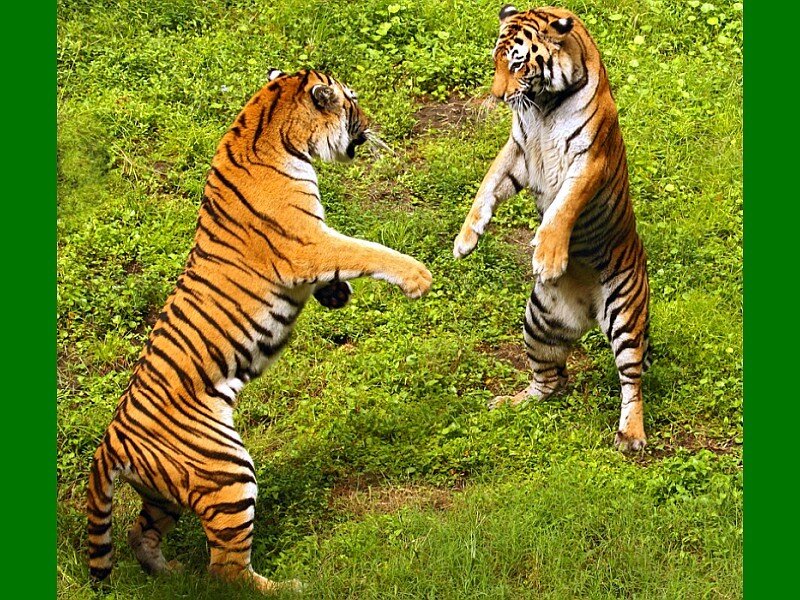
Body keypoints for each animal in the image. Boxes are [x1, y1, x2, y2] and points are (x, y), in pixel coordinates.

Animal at [86, 68, 433, 592]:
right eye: (352, 102)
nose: (370, 122)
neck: (267, 126)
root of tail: (110, 443)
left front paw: (337, 295)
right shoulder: (309, 243)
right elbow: (365, 250)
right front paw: (417, 277)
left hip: (163, 493)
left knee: (138, 533)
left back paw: (169, 574)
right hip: (228, 472)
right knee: (225, 572)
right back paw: (290, 588)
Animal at [453, 5, 651, 452]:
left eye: (517, 63)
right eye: (495, 60)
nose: (497, 96)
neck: (543, 105)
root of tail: (589, 314)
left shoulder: (589, 160)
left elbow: (563, 208)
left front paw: (547, 257)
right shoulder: (518, 151)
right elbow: (486, 186)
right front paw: (465, 240)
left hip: (625, 315)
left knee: (631, 382)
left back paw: (630, 436)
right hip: (539, 323)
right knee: (553, 380)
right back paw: (513, 402)